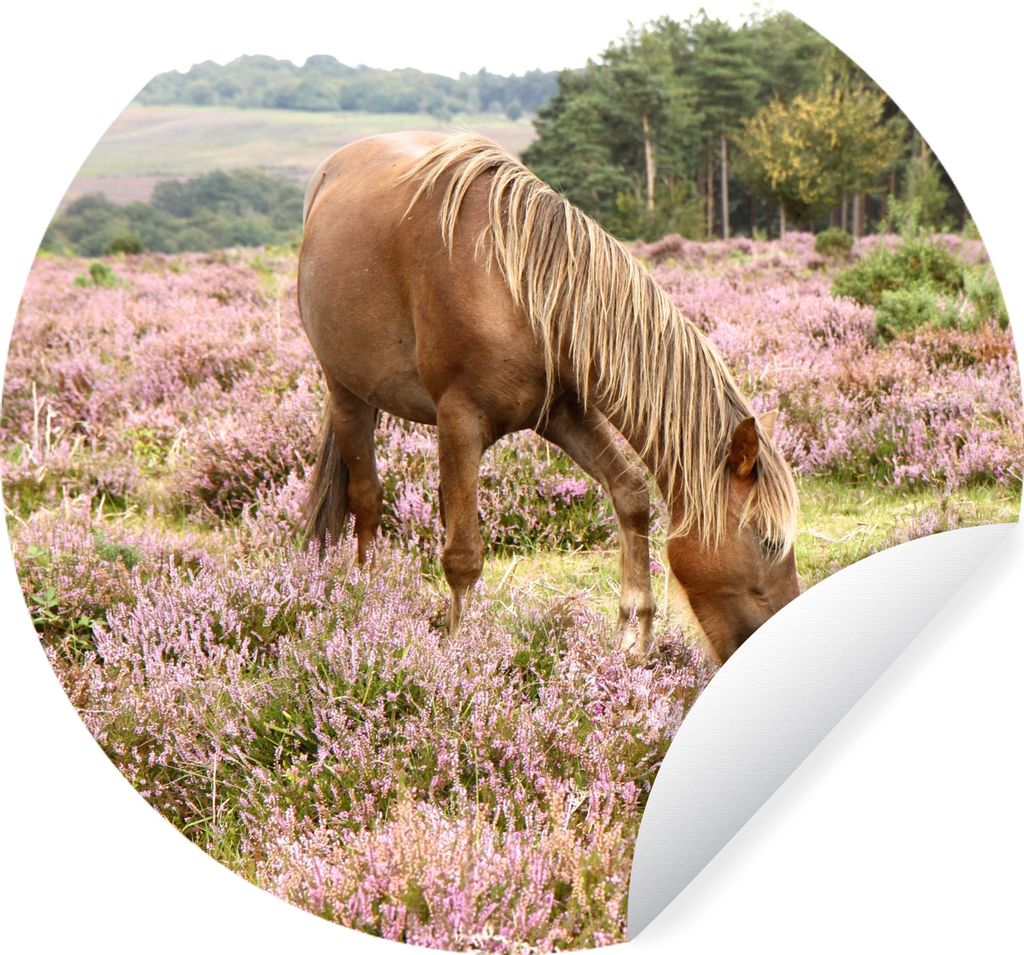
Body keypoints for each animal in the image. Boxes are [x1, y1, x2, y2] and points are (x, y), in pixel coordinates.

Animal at [297, 130, 800, 664]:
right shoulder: (459, 421)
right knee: (367, 501)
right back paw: (370, 601)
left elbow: (630, 494)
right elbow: (463, 556)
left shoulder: (564, 413)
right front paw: (458, 654)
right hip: (347, 390)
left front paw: (634, 636)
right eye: (768, 541)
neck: (524, 288)